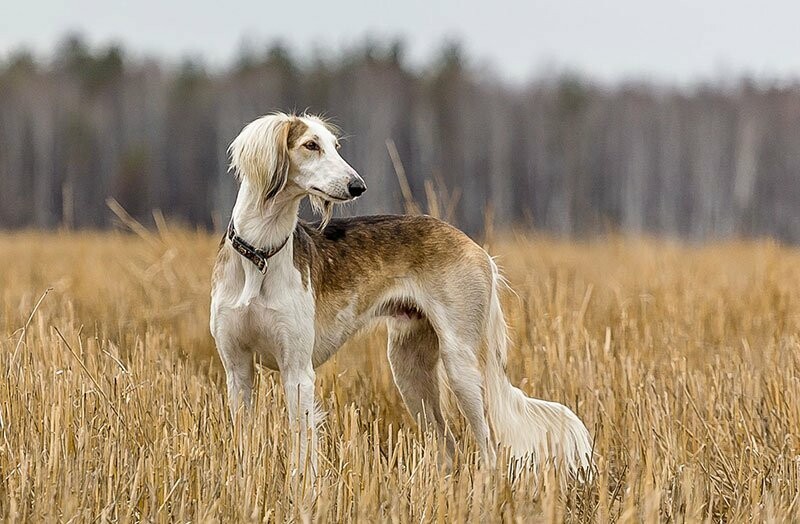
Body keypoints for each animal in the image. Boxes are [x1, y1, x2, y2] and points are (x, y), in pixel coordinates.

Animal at [209, 112, 592, 482]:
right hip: (409, 369)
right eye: (310, 145)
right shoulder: (237, 370)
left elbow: (303, 447)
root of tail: (475, 247)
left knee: (487, 447)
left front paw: (302, 490)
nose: (357, 186)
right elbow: (243, 442)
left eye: (335, 146)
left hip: (462, 367)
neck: (260, 254)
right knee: (448, 444)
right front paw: (242, 484)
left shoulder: (298, 371)